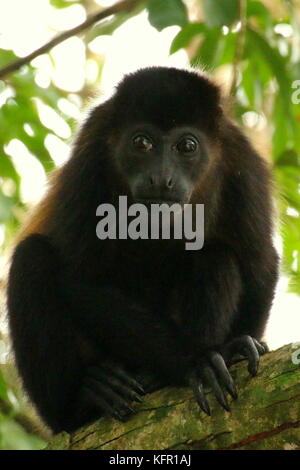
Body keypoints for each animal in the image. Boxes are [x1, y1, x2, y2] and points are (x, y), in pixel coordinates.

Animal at [7, 67, 278, 434]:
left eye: (187, 146)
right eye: (142, 143)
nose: (161, 179)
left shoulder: (241, 160)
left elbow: (259, 264)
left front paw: (232, 349)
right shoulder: (91, 154)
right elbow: (82, 279)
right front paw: (194, 361)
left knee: (215, 254)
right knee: (31, 258)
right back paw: (85, 401)